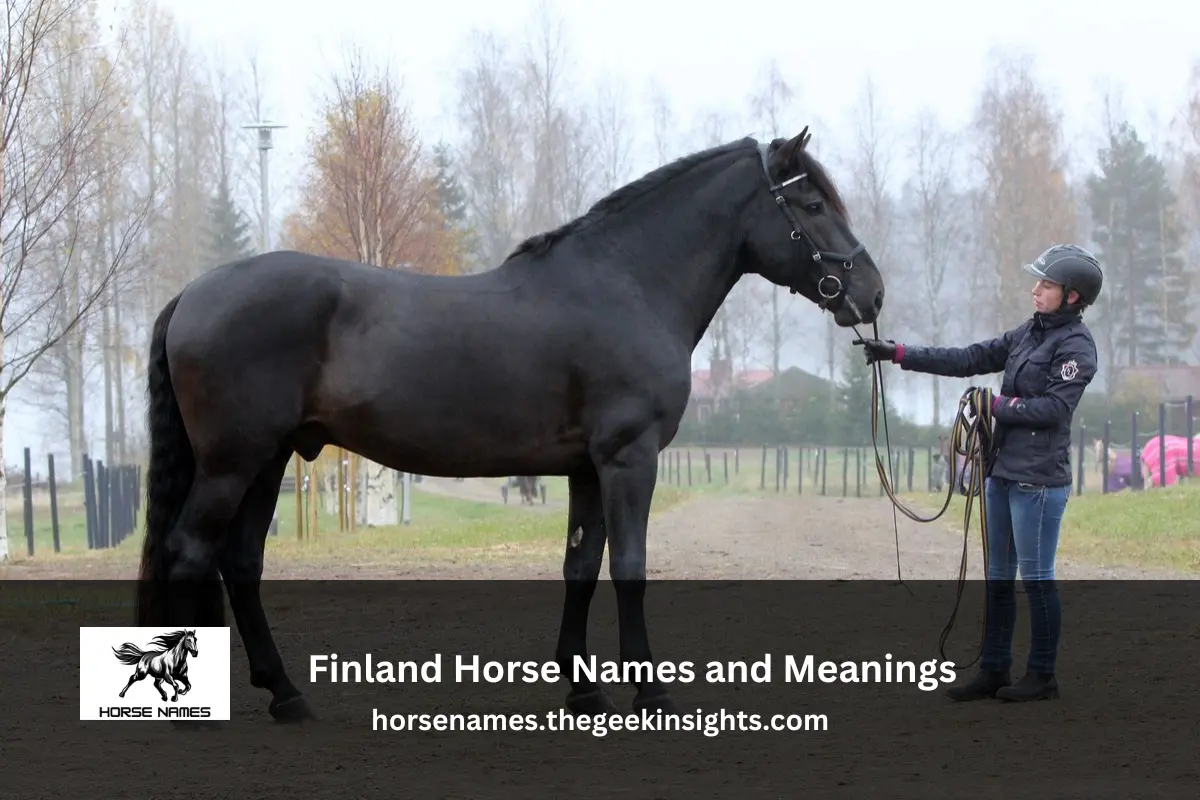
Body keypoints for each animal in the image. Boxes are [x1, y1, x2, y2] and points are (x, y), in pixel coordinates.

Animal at [133, 128, 885, 724]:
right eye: (812, 205)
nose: (871, 293)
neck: (628, 285)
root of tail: (193, 293)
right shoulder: (629, 459)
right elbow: (631, 567)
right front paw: (649, 691)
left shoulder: (587, 468)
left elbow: (580, 565)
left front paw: (583, 690)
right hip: (233, 463)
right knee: (192, 553)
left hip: (267, 461)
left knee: (240, 561)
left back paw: (286, 695)